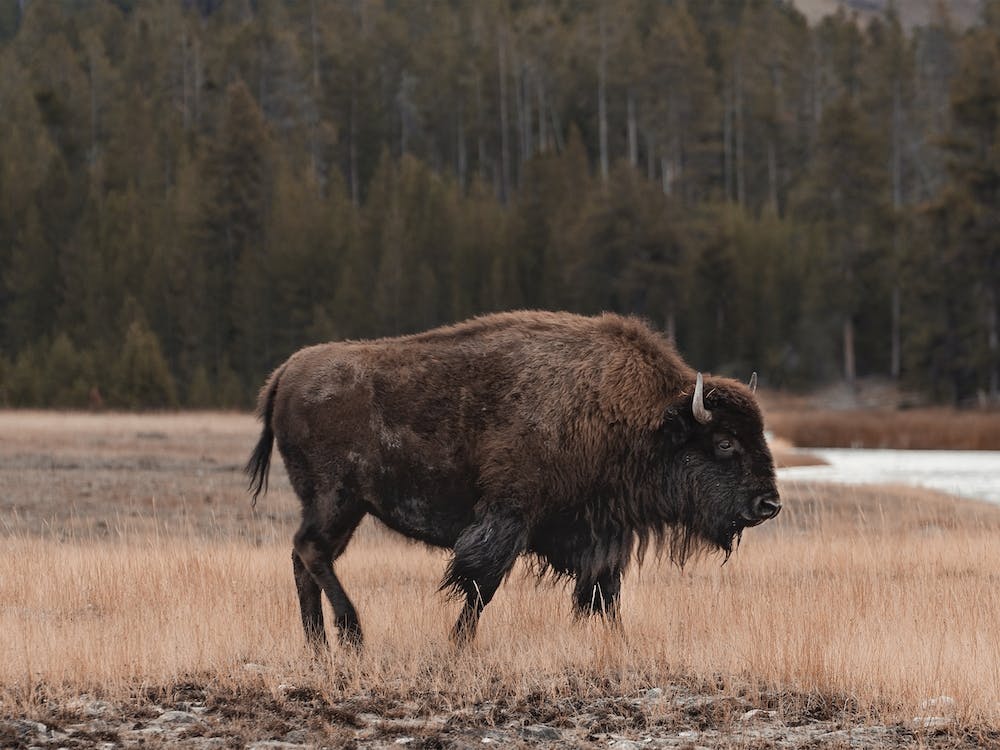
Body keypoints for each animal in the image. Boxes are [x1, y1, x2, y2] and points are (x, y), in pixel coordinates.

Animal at [246, 311, 780, 649]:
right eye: (725, 442)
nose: (768, 505)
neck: (633, 417)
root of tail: (286, 372)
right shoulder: (508, 519)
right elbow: (480, 586)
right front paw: (458, 646)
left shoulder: (600, 534)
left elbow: (605, 595)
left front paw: (621, 645)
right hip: (336, 499)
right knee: (310, 551)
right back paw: (353, 636)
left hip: (346, 508)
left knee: (304, 557)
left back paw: (319, 647)